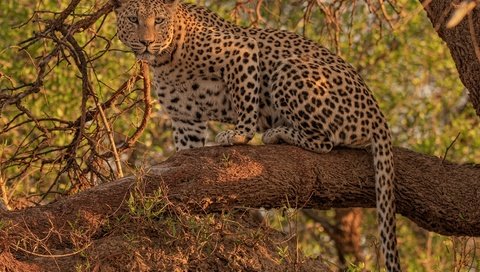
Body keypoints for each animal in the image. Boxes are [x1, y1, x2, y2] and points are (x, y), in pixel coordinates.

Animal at [111, 0, 402, 270]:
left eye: (159, 20)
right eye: (134, 19)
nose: (146, 42)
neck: (166, 60)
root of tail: (378, 115)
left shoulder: (241, 51)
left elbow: (245, 99)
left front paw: (239, 134)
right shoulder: (185, 118)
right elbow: (186, 152)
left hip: (288, 68)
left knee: (326, 141)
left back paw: (277, 133)